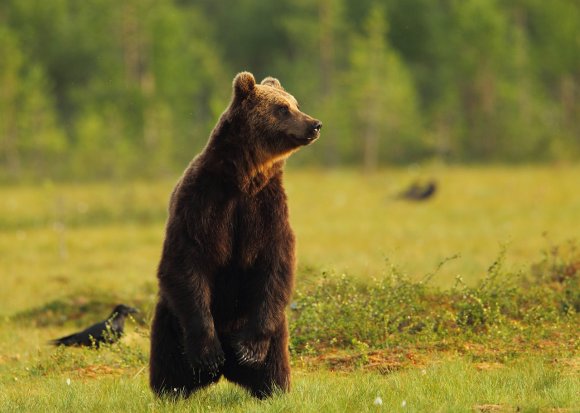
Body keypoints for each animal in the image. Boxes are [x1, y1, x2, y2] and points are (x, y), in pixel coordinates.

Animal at [148, 72, 322, 398]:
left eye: (295, 103)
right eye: (282, 108)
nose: (314, 124)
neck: (244, 178)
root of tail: (226, 373)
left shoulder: (267, 210)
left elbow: (275, 263)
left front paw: (249, 351)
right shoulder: (203, 203)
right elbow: (187, 260)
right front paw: (208, 353)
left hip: (272, 330)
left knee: (274, 362)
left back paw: (270, 386)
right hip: (171, 321)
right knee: (169, 359)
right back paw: (173, 388)